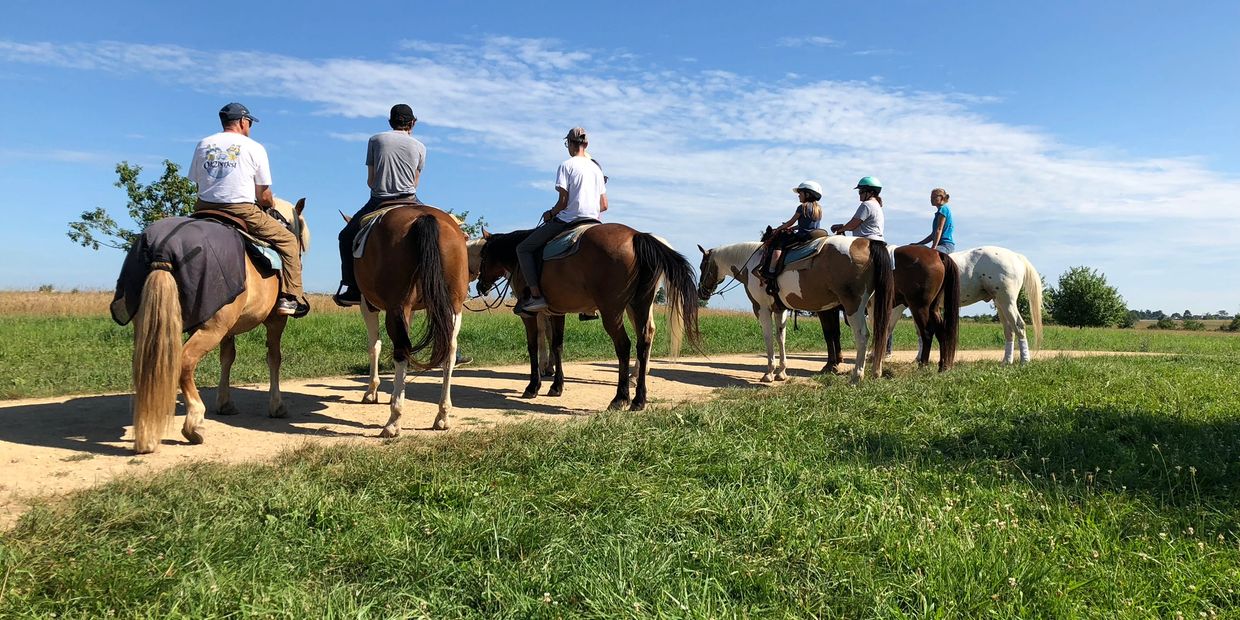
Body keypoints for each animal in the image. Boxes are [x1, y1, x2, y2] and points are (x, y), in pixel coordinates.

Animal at [125, 195, 310, 453]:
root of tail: (163, 251)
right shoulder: (276, 321)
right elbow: (274, 359)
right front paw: (277, 406)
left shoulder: (229, 330)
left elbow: (227, 358)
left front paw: (225, 403)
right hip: (210, 329)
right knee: (184, 362)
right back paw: (194, 423)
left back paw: (147, 434)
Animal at [354, 203, 468, 436]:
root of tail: (424, 217)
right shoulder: (411, 309)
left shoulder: (367, 305)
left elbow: (374, 346)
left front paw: (372, 391)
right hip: (453, 306)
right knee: (449, 352)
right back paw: (443, 415)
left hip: (396, 307)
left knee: (402, 350)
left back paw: (394, 420)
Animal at [473, 224, 704, 411]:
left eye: (483, 255)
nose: (480, 286)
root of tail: (637, 235)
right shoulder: (556, 312)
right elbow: (557, 345)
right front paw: (556, 386)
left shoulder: (530, 315)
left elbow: (534, 346)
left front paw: (533, 386)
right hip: (639, 306)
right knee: (643, 342)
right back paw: (639, 399)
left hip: (613, 312)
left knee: (624, 346)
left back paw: (620, 398)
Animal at [699, 234, 892, 384]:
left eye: (702, 266)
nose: (702, 292)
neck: (752, 264)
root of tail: (868, 244)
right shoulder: (780, 309)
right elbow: (781, 337)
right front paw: (781, 372)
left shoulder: (761, 309)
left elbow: (768, 338)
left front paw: (769, 373)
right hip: (873, 307)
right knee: (881, 333)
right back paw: (876, 371)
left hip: (854, 306)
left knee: (863, 336)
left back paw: (857, 375)